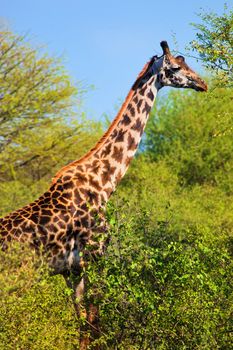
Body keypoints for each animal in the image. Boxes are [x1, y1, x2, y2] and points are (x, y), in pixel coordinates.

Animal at [0, 41, 208, 350]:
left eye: (186, 63)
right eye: (174, 68)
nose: (202, 83)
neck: (105, 182)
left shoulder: (72, 269)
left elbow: (83, 326)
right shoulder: (96, 256)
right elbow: (95, 324)